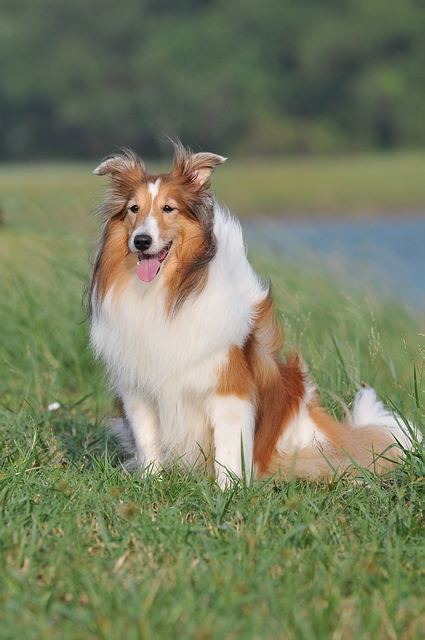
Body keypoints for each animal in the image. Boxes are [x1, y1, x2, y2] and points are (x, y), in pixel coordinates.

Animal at [88, 141, 415, 487]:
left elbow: (228, 448)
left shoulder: (227, 389)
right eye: (134, 209)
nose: (141, 241)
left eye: (168, 208)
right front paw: (153, 483)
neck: (168, 292)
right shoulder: (138, 390)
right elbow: (148, 440)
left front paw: (228, 489)